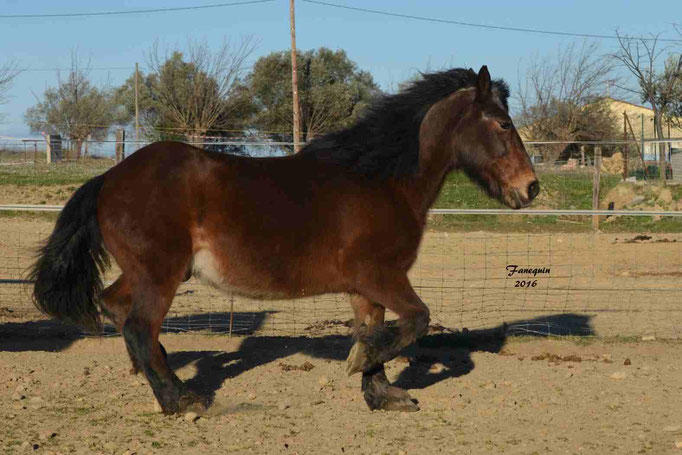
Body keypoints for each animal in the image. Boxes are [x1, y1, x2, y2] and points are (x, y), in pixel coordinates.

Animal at [29, 66, 536, 416]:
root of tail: (109, 179)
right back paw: (181, 399)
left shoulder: (365, 288)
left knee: (115, 307)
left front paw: (381, 393)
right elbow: (416, 321)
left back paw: (154, 376)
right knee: (138, 325)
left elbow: (376, 329)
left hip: (146, 273)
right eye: (503, 124)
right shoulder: (382, 276)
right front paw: (361, 364)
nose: (530, 189)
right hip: (160, 275)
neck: (380, 182)